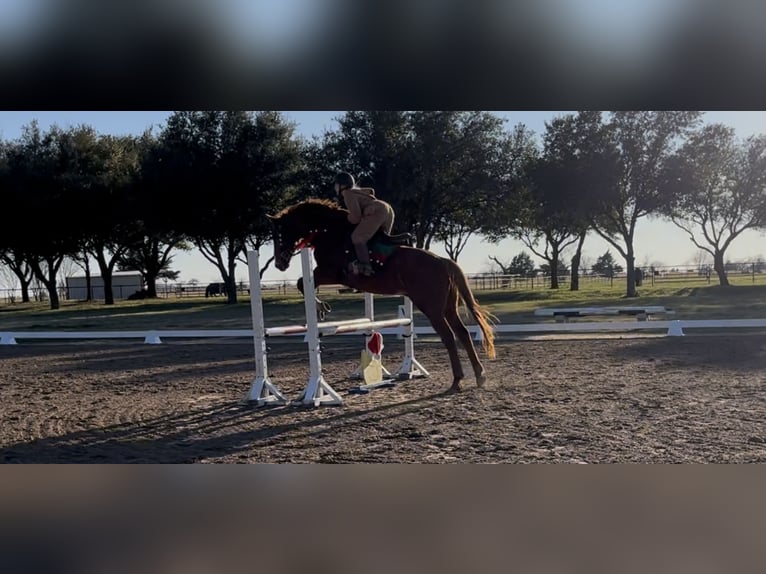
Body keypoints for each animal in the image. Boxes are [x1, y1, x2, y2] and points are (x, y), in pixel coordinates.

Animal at [268, 199, 498, 396]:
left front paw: (320, 306)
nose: (279, 263)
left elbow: (302, 282)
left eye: (278, 235)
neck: (329, 232)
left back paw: (457, 380)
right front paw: (321, 306)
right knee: (463, 334)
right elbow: (305, 283)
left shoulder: (331, 272)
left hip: (432, 308)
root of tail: (443, 261)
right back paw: (480, 376)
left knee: (449, 337)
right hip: (448, 308)